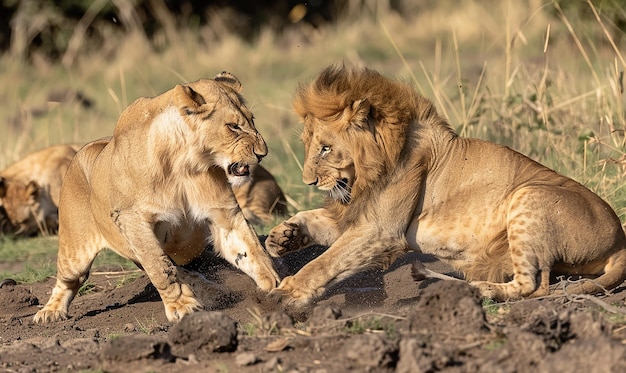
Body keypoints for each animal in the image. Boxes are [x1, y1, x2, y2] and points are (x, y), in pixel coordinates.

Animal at [33, 72, 278, 322]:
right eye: (233, 126)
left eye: (252, 120)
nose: (262, 154)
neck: (185, 165)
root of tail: (85, 149)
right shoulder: (132, 219)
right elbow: (159, 267)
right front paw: (181, 307)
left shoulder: (224, 213)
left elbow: (251, 250)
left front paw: (275, 287)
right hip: (74, 249)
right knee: (68, 280)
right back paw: (50, 312)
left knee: (186, 271)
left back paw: (213, 292)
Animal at [264, 65, 624, 310]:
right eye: (308, 146)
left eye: (325, 148)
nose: (308, 181)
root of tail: (620, 239)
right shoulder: (356, 217)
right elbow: (314, 222)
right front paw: (282, 237)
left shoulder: (380, 229)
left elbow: (325, 262)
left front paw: (286, 293)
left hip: (529, 194)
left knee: (535, 286)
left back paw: (479, 290)